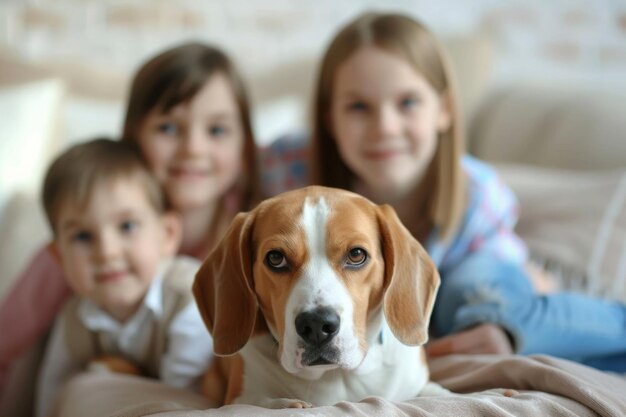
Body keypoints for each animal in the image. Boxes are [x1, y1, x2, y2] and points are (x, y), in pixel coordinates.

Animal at [193, 187, 442, 408]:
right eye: (275, 258)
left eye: (356, 254)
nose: (316, 324)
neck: (335, 376)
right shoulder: (239, 398)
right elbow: (265, 403)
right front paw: (289, 404)